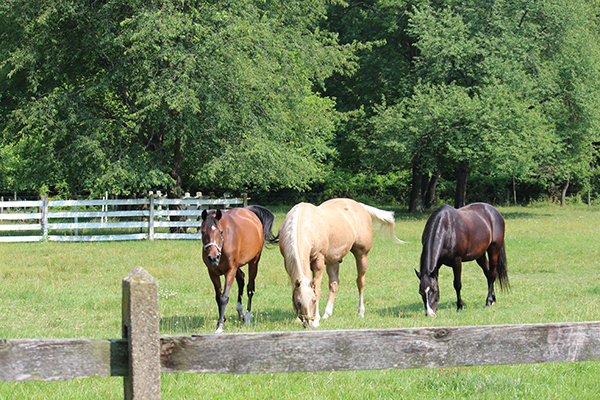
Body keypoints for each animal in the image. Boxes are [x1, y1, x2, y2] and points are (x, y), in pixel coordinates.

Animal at [278, 198, 400, 328]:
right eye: (298, 302)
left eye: (314, 300)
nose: (309, 323)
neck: (305, 224)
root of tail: (359, 205)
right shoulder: (288, 264)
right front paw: (297, 318)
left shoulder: (319, 262)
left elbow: (318, 290)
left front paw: (317, 320)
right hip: (333, 260)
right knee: (334, 284)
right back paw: (327, 313)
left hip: (362, 255)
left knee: (360, 282)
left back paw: (360, 312)